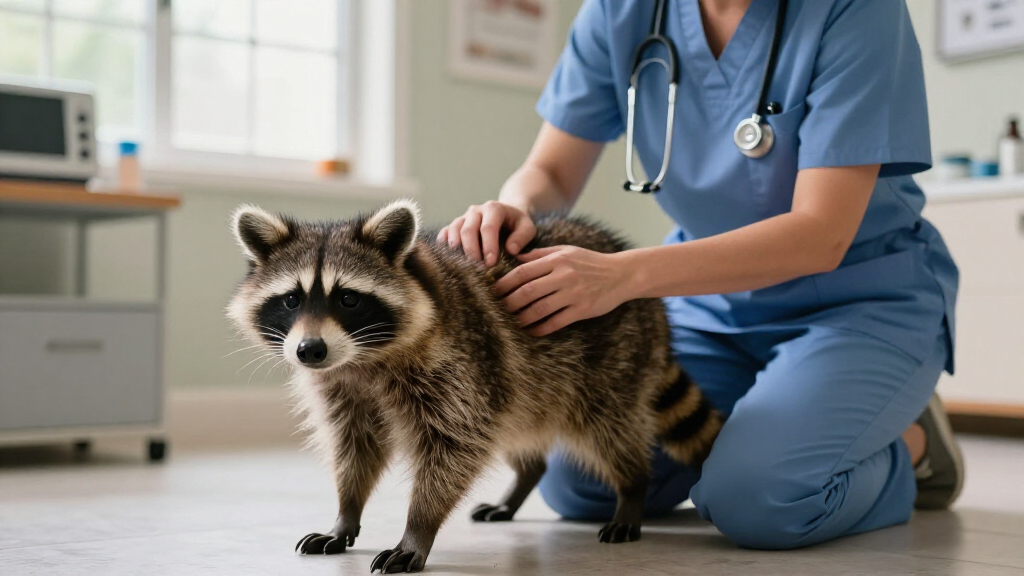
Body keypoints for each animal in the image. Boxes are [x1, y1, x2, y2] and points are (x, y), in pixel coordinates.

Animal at [227, 200, 722, 574]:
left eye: (348, 299)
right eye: (292, 299)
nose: (309, 351)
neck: (362, 360)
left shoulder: (461, 364)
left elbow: (453, 447)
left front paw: (418, 528)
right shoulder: (343, 390)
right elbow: (355, 446)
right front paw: (346, 512)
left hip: (611, 364)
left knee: (610, 429)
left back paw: (632, 489)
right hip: (525, 387)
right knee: (521, 430)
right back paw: (524, 479)